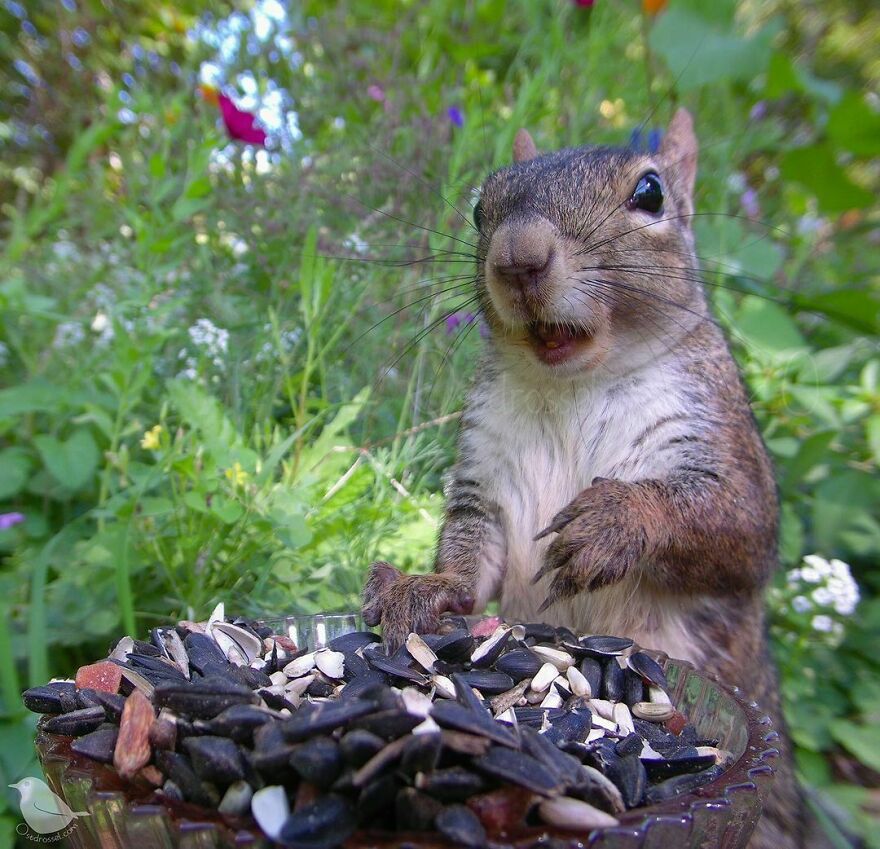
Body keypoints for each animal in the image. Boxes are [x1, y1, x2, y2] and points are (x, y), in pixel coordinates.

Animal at [362, 109, 807, 849]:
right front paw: (426, 587)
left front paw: (613, 522)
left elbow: (735, 528)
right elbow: (473, 552)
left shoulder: (728, 449)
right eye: (481, 207)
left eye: (651, 193)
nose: (518, 256)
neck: (575, 382)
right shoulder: (487, 475)